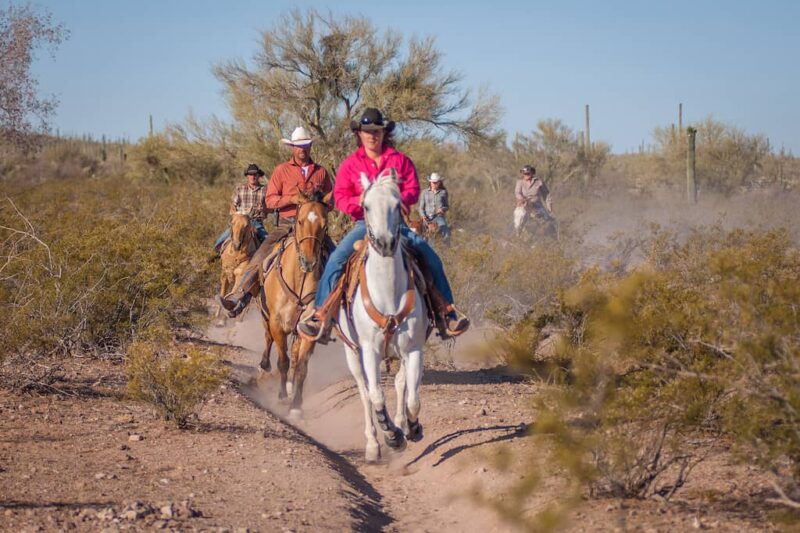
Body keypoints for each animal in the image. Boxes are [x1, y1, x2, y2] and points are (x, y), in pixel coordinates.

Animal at [260, 191, 332, 420]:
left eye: (325, 225)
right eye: (300, 221)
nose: (309, 262)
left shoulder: (309, 329)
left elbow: (301, 368)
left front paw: (296, 405)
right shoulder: (277, 323)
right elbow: (282, 361)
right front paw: (282, 396)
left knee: (293, 355)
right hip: (266, 316)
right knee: (268, 339)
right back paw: (264, 366)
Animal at [340, 170, 432, 462]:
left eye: (396, 204)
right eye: (366, 206)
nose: (385, 242)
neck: (388, 292)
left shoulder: (413, 349)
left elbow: (413, 397)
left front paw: (411, 428)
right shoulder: (369, 350)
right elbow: (376, 396)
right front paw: (391, 436)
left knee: (401, 384)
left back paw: (401, 423)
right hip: (352, 353)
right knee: (364, 392)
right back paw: (373, 443)